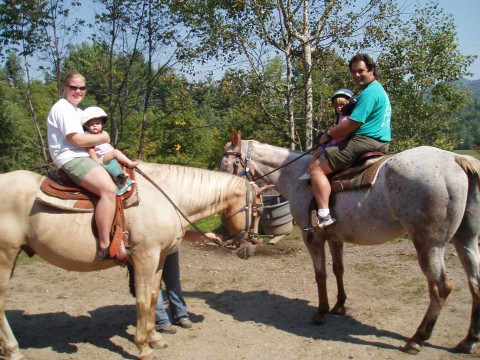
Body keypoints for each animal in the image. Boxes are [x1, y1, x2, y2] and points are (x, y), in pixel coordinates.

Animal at [0, 163, 272, 360]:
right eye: (258, 210)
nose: (251, 246)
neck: (168, 198)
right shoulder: (145, 257)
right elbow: (141, 301)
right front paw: (144, 348)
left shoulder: (159, 257)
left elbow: (153, 297)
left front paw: (155, 339)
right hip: (5, 257)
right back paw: (13, 351)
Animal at [221, 131, 480, 354]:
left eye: (226, 163)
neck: (296, 175)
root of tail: (455, 159)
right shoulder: (335, 238)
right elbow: (338, 270)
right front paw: (339, 306)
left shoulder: (312, 237)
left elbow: (321, 275)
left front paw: (321, 312)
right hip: (466, 240)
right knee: (474, 283)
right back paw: (468, 340)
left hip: (429, 245)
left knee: (440, 288)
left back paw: (417, 339)